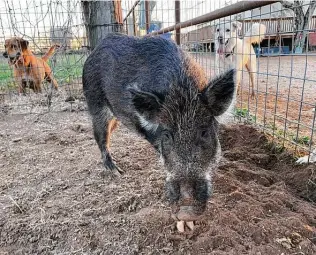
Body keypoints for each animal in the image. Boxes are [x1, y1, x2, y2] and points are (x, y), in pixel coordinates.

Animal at [82, 32, 236, 226]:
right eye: (167, 135)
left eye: (204, 132)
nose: (186, 211)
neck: (181, 90)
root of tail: (93, 52)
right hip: (95, 104)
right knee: (101, 138)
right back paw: (117, 172)